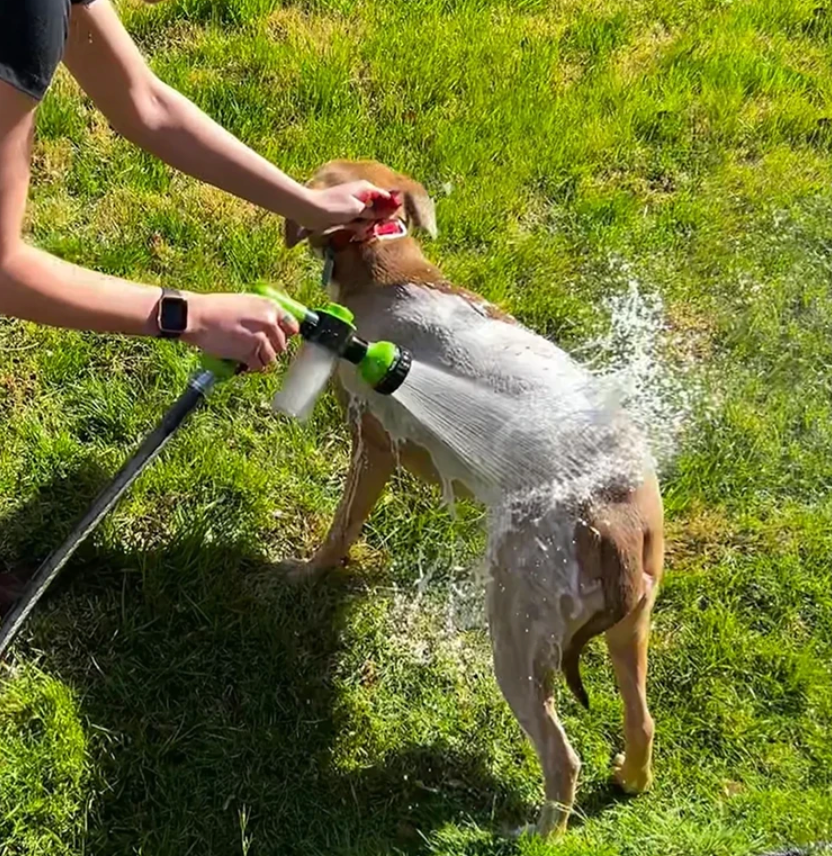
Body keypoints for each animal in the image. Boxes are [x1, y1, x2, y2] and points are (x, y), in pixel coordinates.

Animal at [280, 160, 664, 836]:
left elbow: (340, 530)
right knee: (641, 720)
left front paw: (304, 574)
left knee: (562, 756)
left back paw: (539, 835)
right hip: (631, 625)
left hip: (518, 636)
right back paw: (629, 779)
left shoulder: (372, 445)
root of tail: (616, 525)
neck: (390, 267)